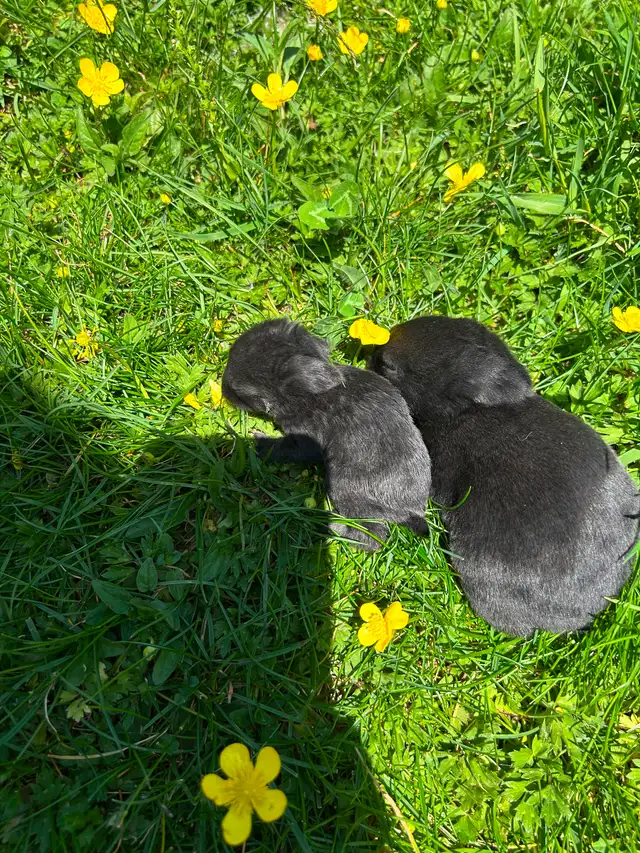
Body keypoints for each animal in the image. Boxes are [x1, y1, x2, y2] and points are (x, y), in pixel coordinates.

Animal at [222, 319, 432, 551]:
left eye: (240, 392)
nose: (223, 391)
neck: (308, 394)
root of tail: (411, 513)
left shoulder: (305, 440)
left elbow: (285, 448)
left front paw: (255, 440)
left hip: (344, 487)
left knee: (372, 536)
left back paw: (332, 525)